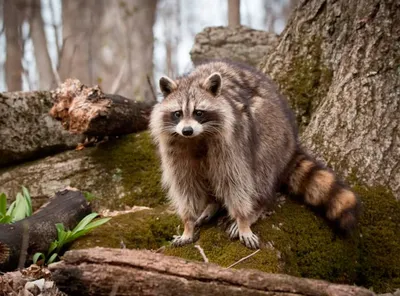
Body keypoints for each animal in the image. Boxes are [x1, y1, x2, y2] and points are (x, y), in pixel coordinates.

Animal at [148, 60, 360, 250]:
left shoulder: (231, 142)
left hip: (270, 131)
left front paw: (242, 220)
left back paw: (256, 206)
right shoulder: (175, 150)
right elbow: (185, 186)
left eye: (199, 112)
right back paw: (212, 205)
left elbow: (236, 181)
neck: (197, 138)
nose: (187, 130)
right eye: (177, 113)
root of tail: (291, 140)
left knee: (261, 171)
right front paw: (188, 224)